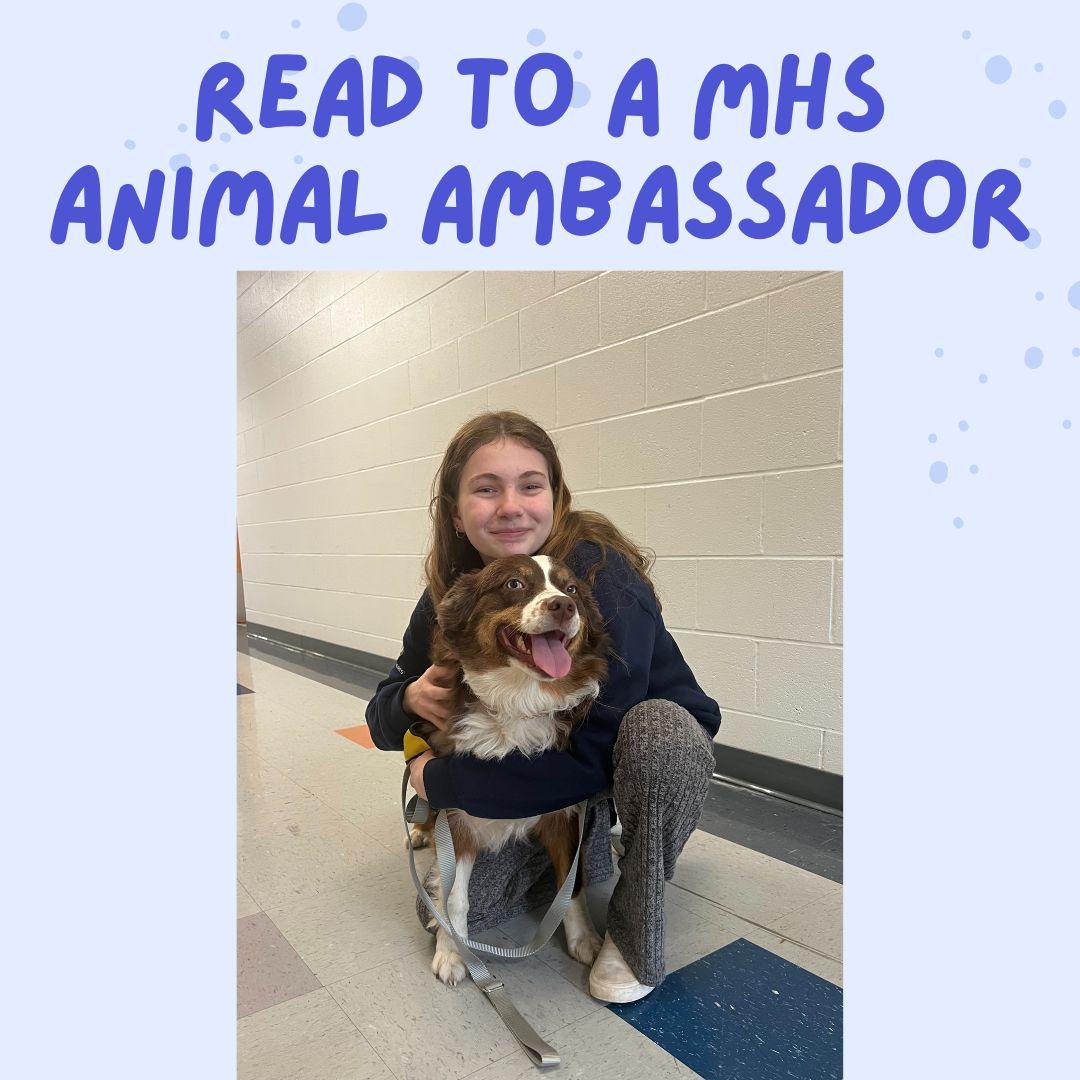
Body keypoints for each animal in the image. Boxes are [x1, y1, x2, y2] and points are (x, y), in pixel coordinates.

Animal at [408, 557, 609, 989]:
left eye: (572, 589)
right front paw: (453, 952)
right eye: (514, 584)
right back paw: (418, 829)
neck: (518, 699)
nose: (563, 606)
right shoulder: (457, 815)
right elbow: (453, 895)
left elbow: (572, 887)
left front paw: (584, 939)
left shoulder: (563, 814)